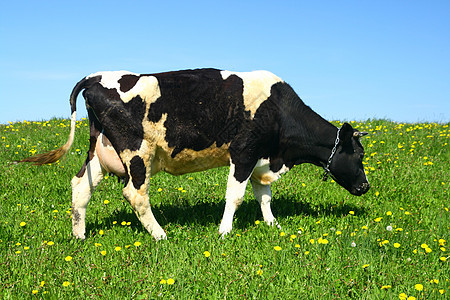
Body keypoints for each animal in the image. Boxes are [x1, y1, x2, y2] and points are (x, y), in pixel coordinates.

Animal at [21, 68, 370, 239]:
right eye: (359, 155)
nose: (366, 186)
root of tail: (95, 76)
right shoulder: (244, 153)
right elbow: (236, 196)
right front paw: (224, 231)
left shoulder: (261, 158)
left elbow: (264, 196)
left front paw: (272, 225)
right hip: (137, 152)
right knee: (136, 194)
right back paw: (160, 235)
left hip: (100, 149)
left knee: (80, 186)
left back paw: (79, 236)